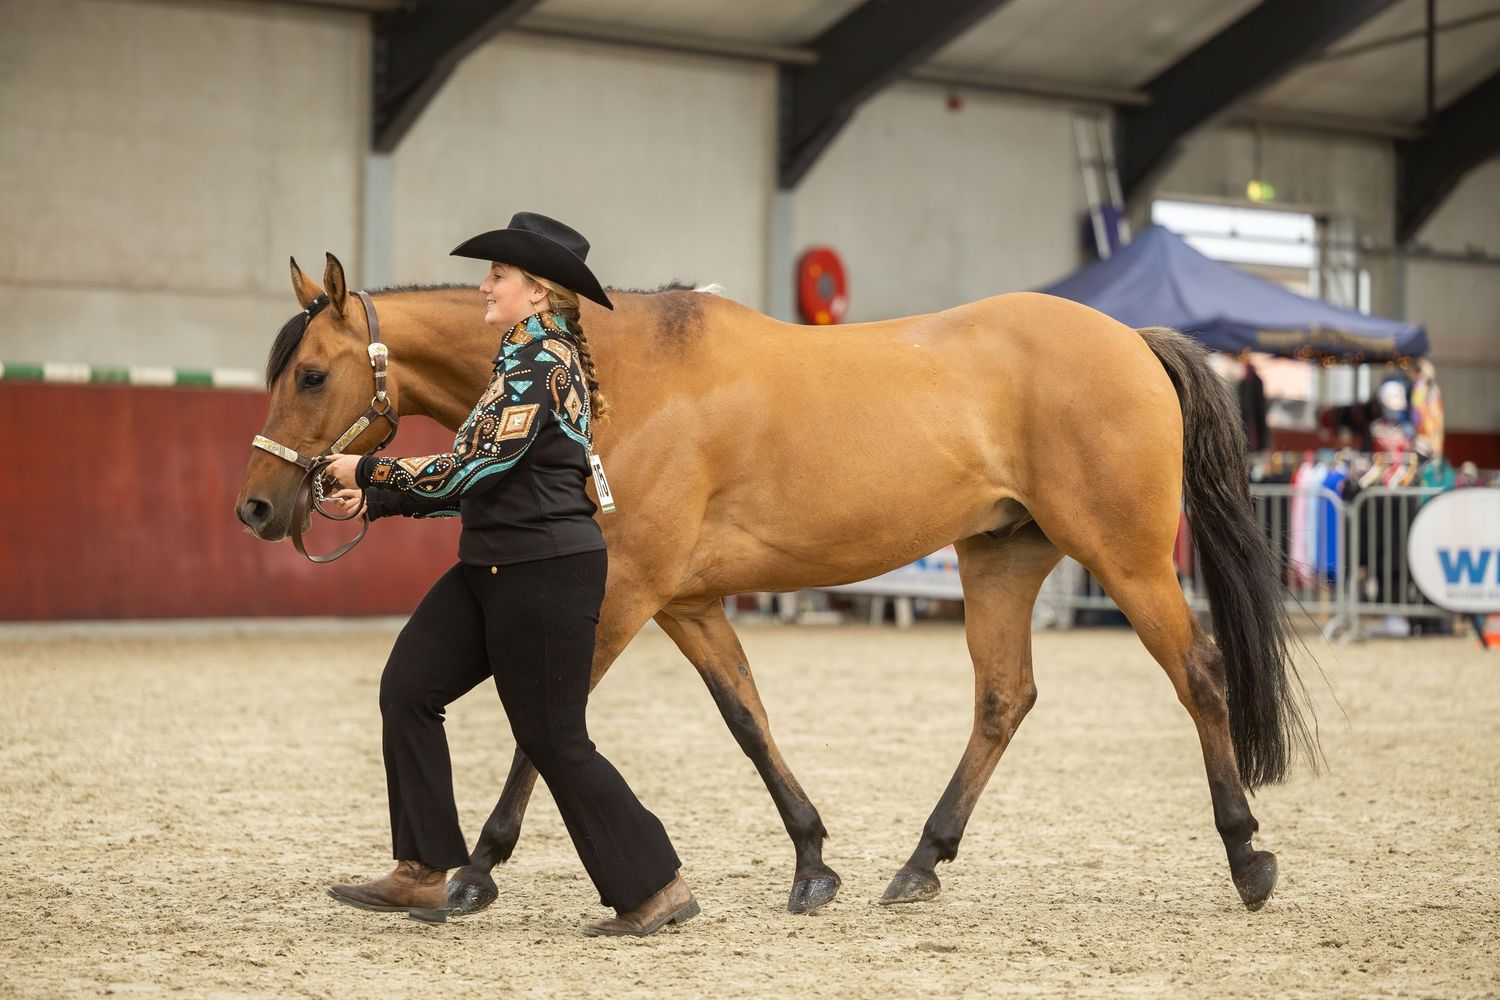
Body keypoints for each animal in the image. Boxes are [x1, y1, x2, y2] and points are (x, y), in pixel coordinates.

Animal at [235, 253, 1314, 917]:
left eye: (314, 374)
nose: (255, 507)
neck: (616, 376)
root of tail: (1133, 339)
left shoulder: (621, 596)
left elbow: (546, 729)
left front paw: (473, 871)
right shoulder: (685, 604)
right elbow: (748, 720)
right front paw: (812, 860)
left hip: (1126, 559)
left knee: (1200, 676)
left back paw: (1249, 857)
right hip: (1002, 558)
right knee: (1004, 699)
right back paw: (919, 862)